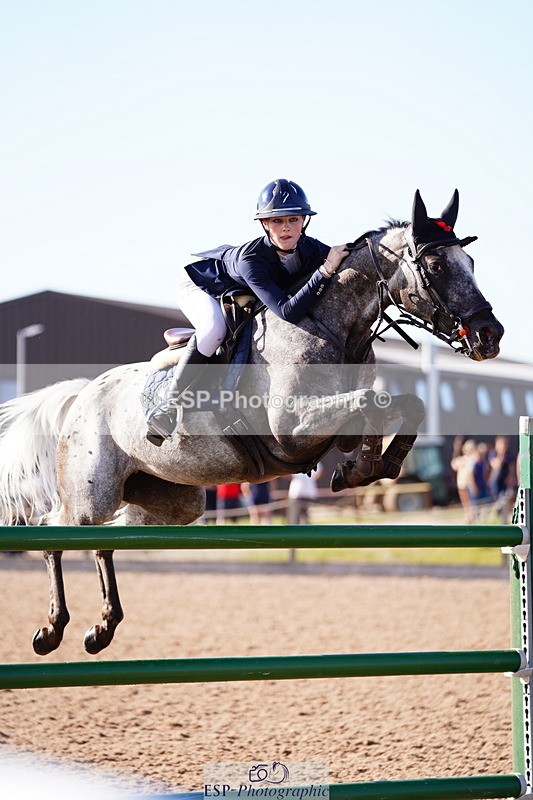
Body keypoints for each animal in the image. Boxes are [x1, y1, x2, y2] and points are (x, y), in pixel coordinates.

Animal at [0, 190, 503, 655]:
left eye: (470, 261)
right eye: (436, 266)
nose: (490, 335)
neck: (331, 328)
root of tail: (84, 393)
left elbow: (403, 404)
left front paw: (371, 466)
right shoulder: (293, 430)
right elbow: (370, 401)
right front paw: (361, 468)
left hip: (173, 502)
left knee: (107, 538)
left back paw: (103, 627)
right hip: (91, 495)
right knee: (54, 527)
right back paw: (52, 629)